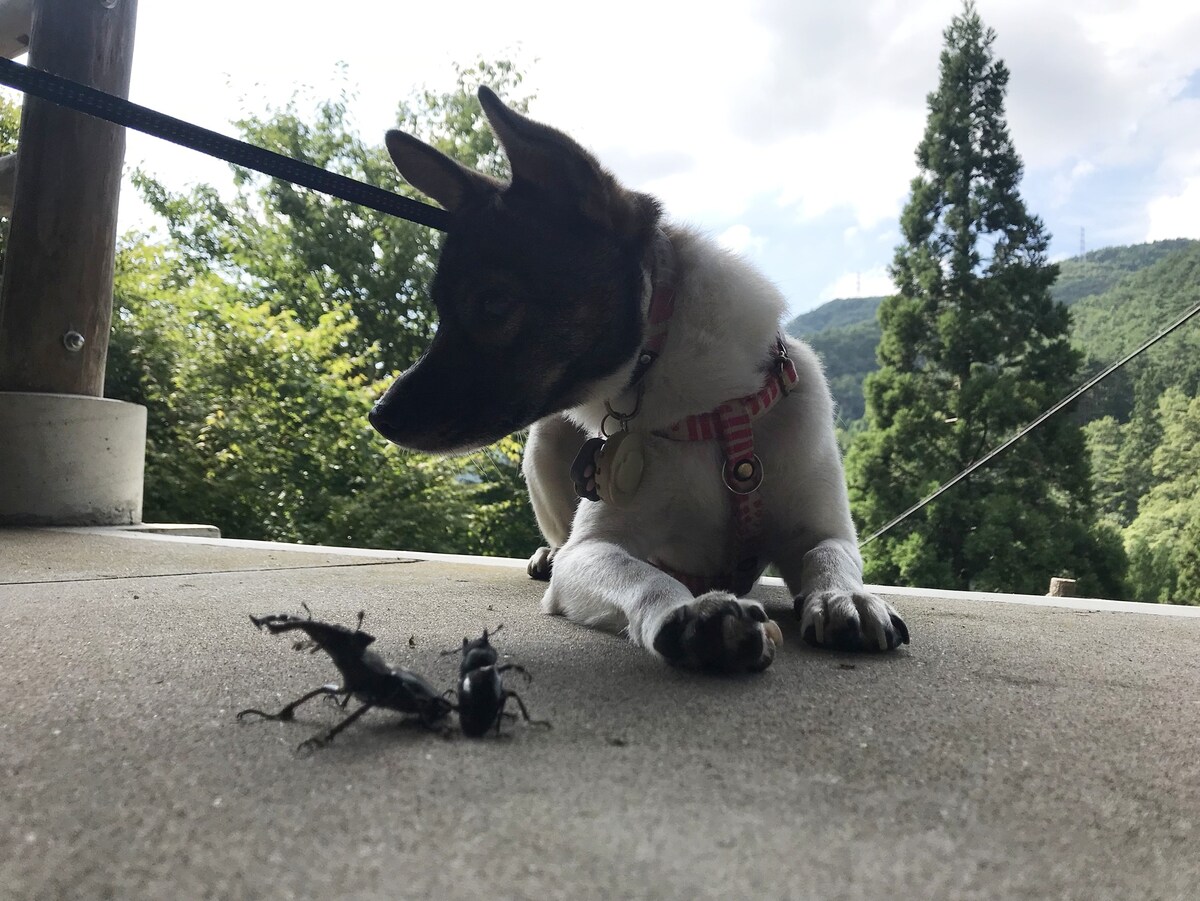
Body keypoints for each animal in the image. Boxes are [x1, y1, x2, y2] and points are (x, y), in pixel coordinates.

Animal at [369, 88, 902, 671]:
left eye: (493, 304)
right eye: (442, 312)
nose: (378, 415)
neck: (703, 409)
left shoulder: (820, 528)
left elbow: (829, 554)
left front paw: (845, 595)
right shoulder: (593, 553)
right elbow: (640, 575)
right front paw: (689, 614)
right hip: (543, 446)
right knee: (561, 532)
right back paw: (548, 552)